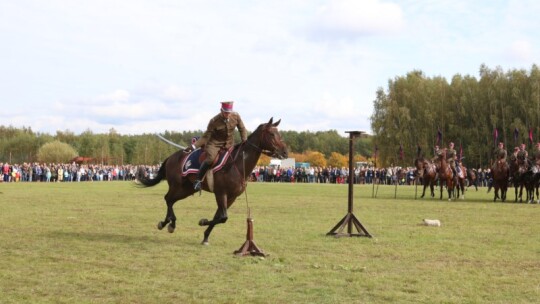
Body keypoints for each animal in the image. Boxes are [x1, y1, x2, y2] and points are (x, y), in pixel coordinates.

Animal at [140, 118, 292, 245]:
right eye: (271, 134)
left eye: (278, 133)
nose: (285, 152)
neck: (237, 164)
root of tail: (171, 157)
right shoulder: (221, 193)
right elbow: (223, 217)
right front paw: (203, 222)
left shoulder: (231, 197)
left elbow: (219, 216)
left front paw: (206, 236)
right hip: (177, 186)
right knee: (168, 199)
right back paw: (169, 223)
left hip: (186, 190)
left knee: (170, 200)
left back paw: (167, 223)